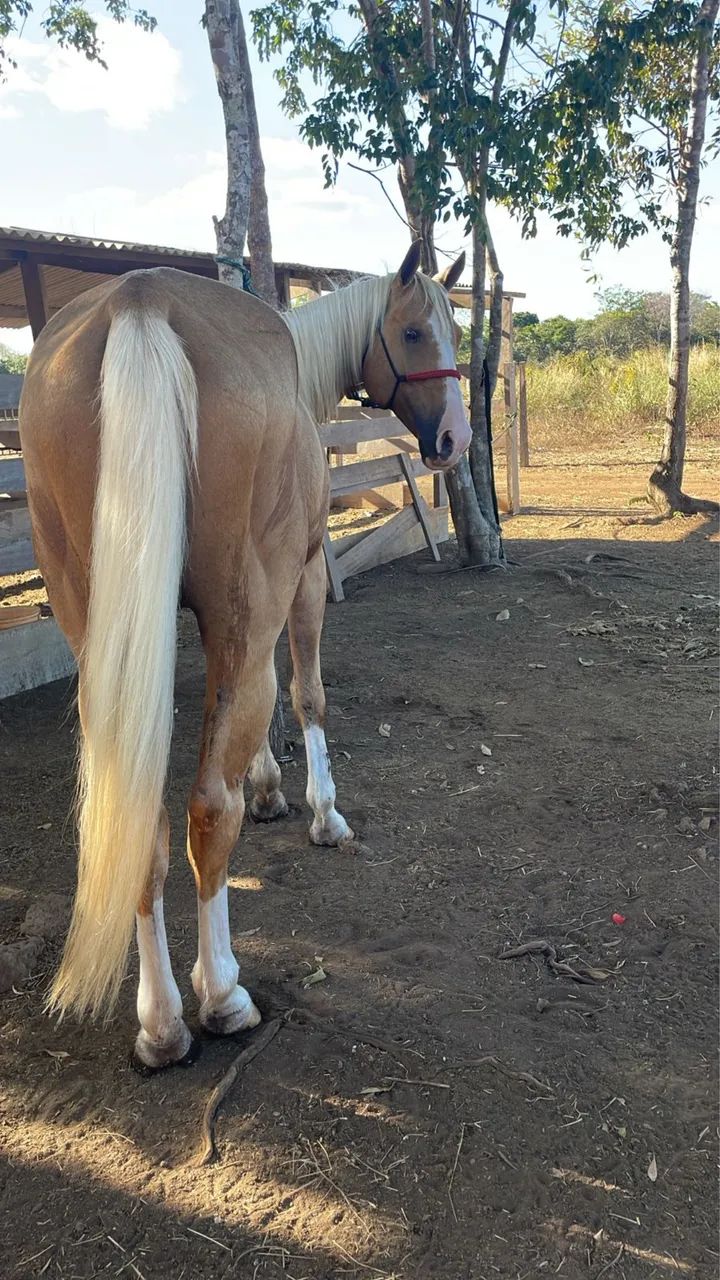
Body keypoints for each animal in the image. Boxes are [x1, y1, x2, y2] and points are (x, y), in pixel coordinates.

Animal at [19, 239, 470, 1070]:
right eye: (416, 332)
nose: (456, 438)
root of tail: (138, 300)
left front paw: (267, 788)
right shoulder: (302, 578)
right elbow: (306, 696)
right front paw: (322, 811)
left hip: (99, 631)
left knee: (143, 819)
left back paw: (159, 1021)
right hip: (246, 603)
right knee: (205, 809)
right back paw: (219, 994)